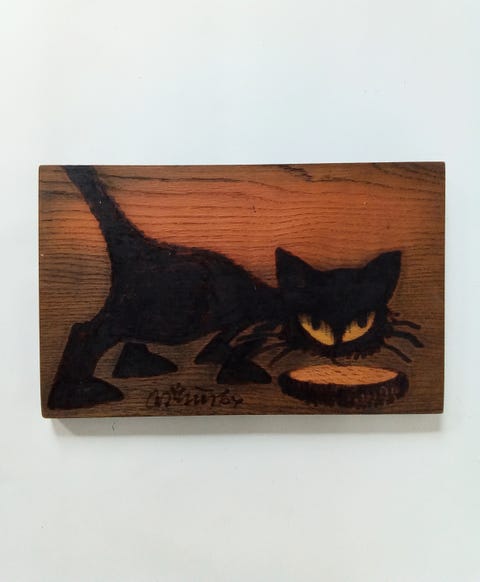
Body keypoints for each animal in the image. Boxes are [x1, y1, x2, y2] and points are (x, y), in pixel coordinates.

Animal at [47, 166, 422, 409]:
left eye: (362, 321)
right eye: (314, 324)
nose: (339, 347)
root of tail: (140, 246)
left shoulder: (247, 319)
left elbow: (224, 347)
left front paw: (226, 363)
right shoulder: (252, 316)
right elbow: (235, 347)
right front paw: (235, 368)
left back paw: (138, 366)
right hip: (168, 316)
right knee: (86, 330)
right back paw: (73, 394)